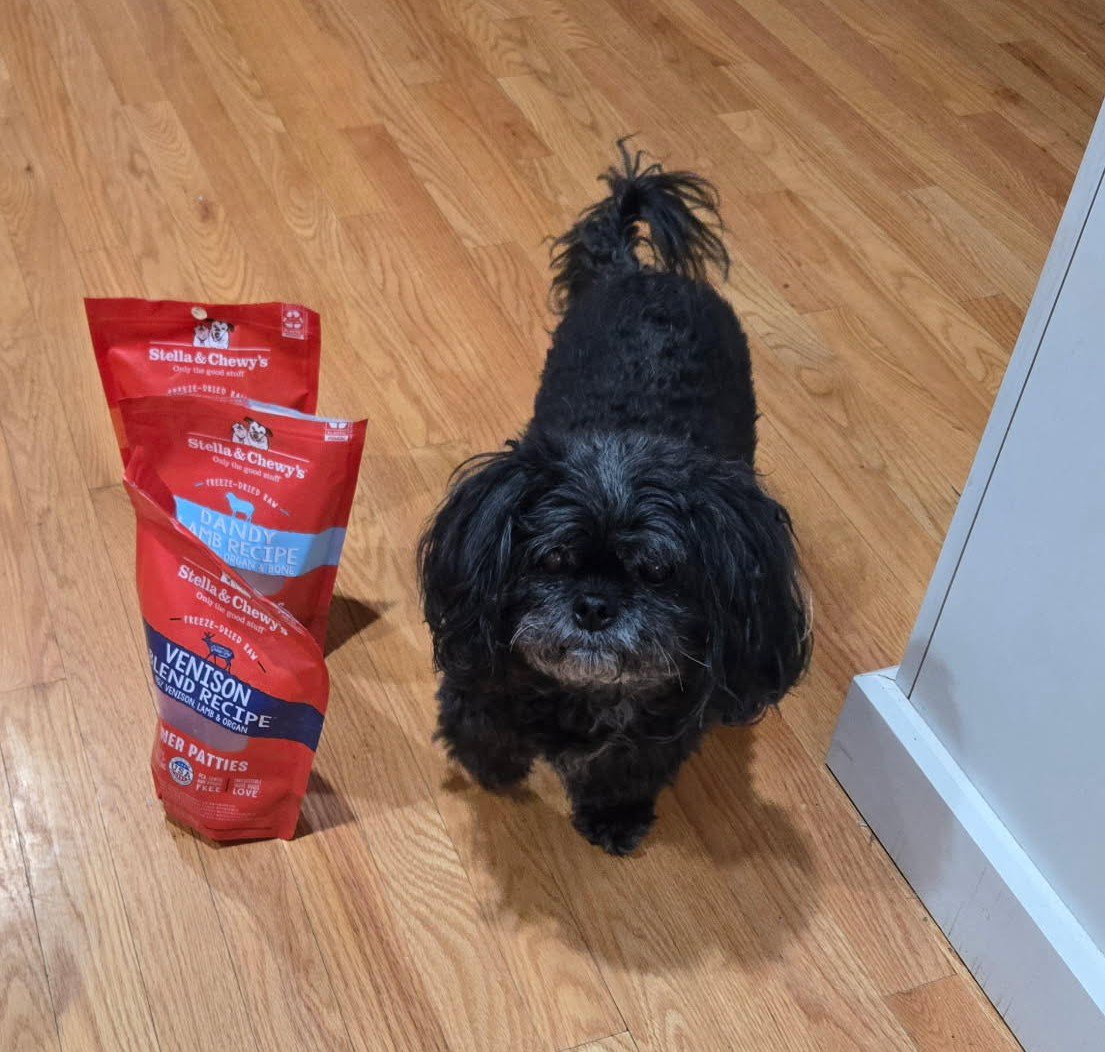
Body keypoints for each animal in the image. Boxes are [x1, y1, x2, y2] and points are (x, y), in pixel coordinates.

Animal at [419, 145, 811, 855]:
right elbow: (479, 725)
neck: (585, 691)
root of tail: (641, 272)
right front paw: (495, 770)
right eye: (550, 560)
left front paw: (614, 817)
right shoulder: (478, 664)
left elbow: (628, 768)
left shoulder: (664, 723)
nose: (595, 606)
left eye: (656, 572)